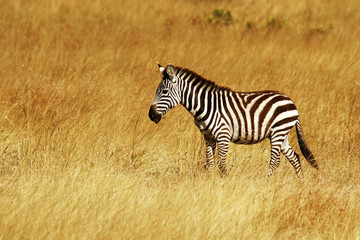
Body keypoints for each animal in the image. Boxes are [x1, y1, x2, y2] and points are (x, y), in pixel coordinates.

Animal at [149, 62, 318, 179]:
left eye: (164, 91)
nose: (151, 115)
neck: (205, 106)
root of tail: (290, 100)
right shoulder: (208, 136)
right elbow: (210, 163)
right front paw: (209, 182)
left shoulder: (223, 135)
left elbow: (222, 163)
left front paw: (227, 180)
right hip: (282, 134)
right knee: (295, 157)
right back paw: (301, 184)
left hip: (278, 132)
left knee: (275, 161)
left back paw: (265, 182)